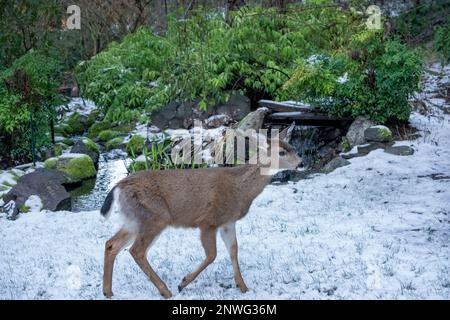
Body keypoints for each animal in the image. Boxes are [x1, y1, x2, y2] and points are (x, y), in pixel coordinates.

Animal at [100, 124, 300, 298]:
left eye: (292, 148)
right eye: (281, 152)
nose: (300, 163)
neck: (240, 190)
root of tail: (119, 186)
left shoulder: (228, 221)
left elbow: (234, 250)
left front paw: (243, 287)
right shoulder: (208, 221)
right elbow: (212, 255)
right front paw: (183, 282)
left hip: (134, 219)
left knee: (111, 244)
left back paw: (108, 292)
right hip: (155, 217)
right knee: (137, 251)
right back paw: (166, 291)